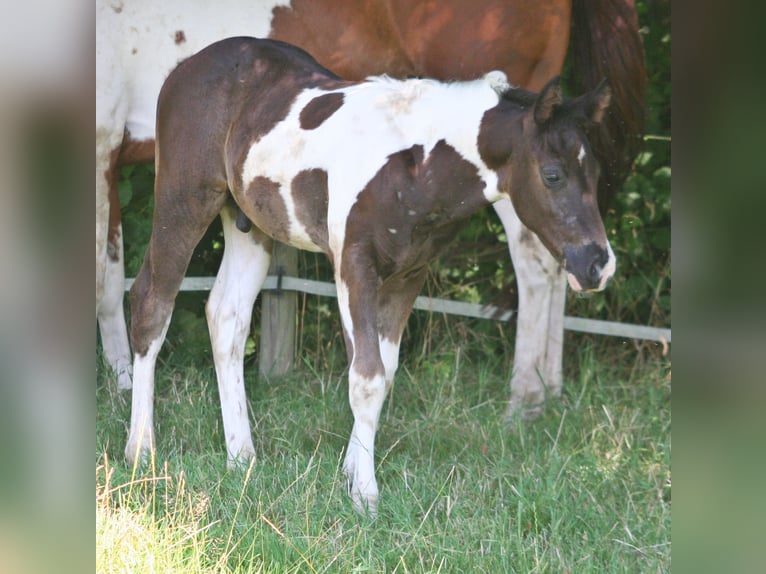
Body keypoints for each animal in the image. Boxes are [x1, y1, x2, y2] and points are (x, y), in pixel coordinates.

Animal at [127, 36, 615, 514]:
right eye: (552, 175)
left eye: (595, 172)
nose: (598, 265)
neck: (416, 166)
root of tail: (185, 66)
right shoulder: (353, 265)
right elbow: (366, 377)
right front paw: (365, 496)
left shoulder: (408, 275)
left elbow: (384, 369)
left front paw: (350, 471)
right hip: (184, 199)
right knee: (151, 302)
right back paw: (140, 450)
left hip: (251, 225)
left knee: (226, 316)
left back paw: (241, 457)